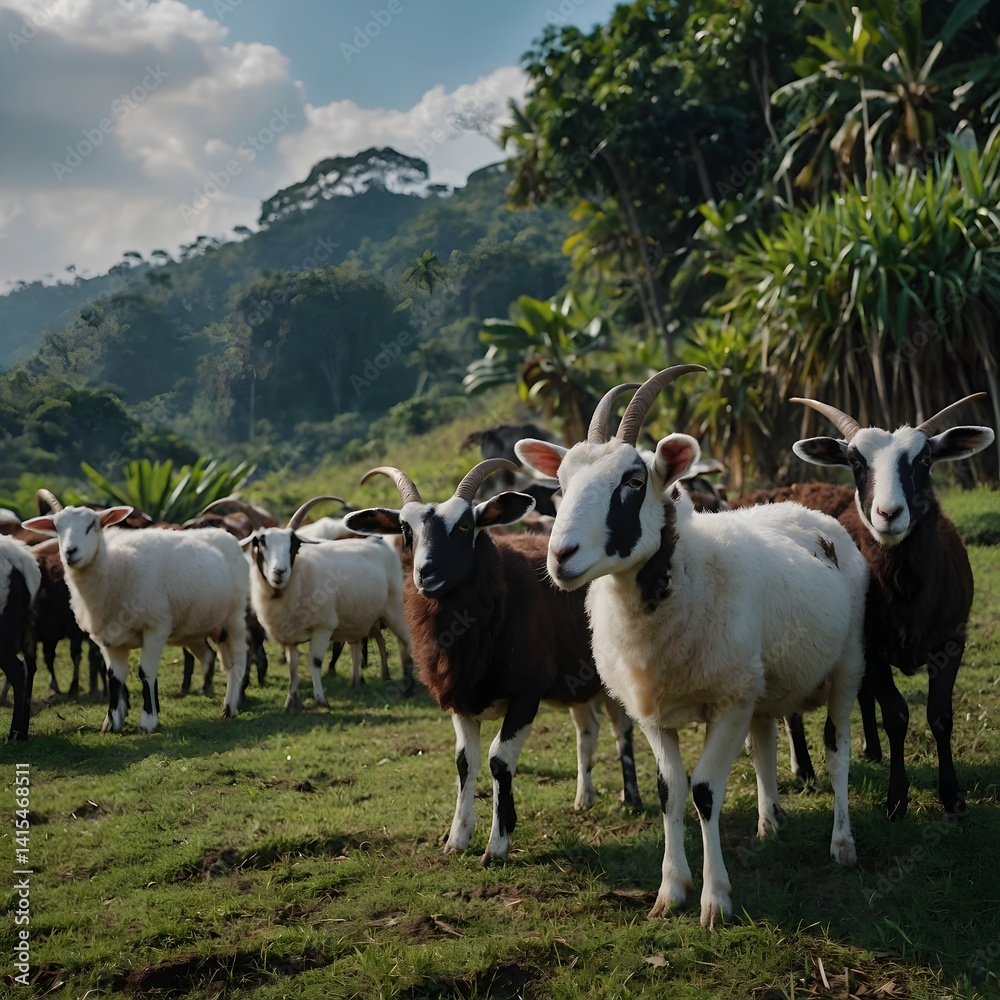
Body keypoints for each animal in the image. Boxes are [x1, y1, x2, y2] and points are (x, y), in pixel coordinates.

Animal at [23, 491, 249, 732]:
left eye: (92, 526)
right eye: (57, 528)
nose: (69, 552)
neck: (114, 567)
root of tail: (229, 537)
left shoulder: (155, 628)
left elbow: (145, 672)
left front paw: (148, 721)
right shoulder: (107, 637)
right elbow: (114, 677)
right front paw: (112, 722)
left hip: (235, 616)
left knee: (237, 661)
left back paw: (230, 706)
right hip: (199, 627)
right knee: (210, 656)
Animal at [236, 497, 415, 710]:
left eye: (294, 544)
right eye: (260, 543)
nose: (279, 572)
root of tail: (378, 541)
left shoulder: (324, 627)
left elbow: (314, 661)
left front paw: (321, 700)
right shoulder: (288, 636)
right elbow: (292, 664)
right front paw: (290, 701)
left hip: (395, 611)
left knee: (406, 643)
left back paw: (408, 688)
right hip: (357, 617)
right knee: (361, 645)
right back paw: (357, 683)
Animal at [344, 459, 644, 867]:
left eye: (465, 525)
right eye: (405, 529)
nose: (426, 573)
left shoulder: (526, 694)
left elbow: (499, 760)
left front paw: (497, 844)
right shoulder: (459, 697)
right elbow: (464, 761)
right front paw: (457, 838)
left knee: (621, 730)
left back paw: (632, 798)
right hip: (575, 679)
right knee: (587, 729)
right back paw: (584, 798)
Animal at [516, 367, 869, 927]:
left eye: (634, 481)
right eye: (561, 485)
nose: (560, 556)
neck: (685, 573)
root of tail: (804, 511)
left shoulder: (728, 703)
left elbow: (704, 791)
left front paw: (715, 899)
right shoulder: (655, 712)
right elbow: (672, 791)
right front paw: (670, 891)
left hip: (847, 663)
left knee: (838, 749)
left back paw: (841, 844)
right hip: (758, 685)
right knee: (764, 742)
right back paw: (770, 823)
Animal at [791, 393, 995, 819]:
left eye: (925, 459)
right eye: (854, 461)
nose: (889, 514)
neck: (906, 590)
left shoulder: (951, 643)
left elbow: (940, 716)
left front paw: (952, 797)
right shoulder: (871, 647)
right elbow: (897, 716)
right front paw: (897, 799)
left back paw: (870, 749)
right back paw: (804, 770)